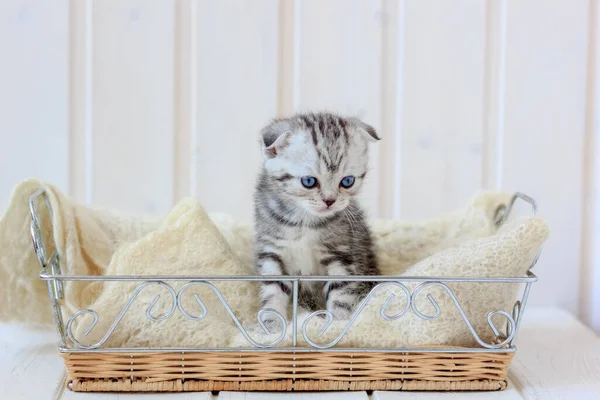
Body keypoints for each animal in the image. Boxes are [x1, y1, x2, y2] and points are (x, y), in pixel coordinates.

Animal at [253, 111, 380, 324]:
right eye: (309, 181)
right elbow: (273, 290)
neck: (304, 222)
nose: (330, 201)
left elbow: (341, 294)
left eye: (347, 181)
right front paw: (271, 325)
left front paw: (336, 324)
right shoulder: (273, 251)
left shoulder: (342, 255)